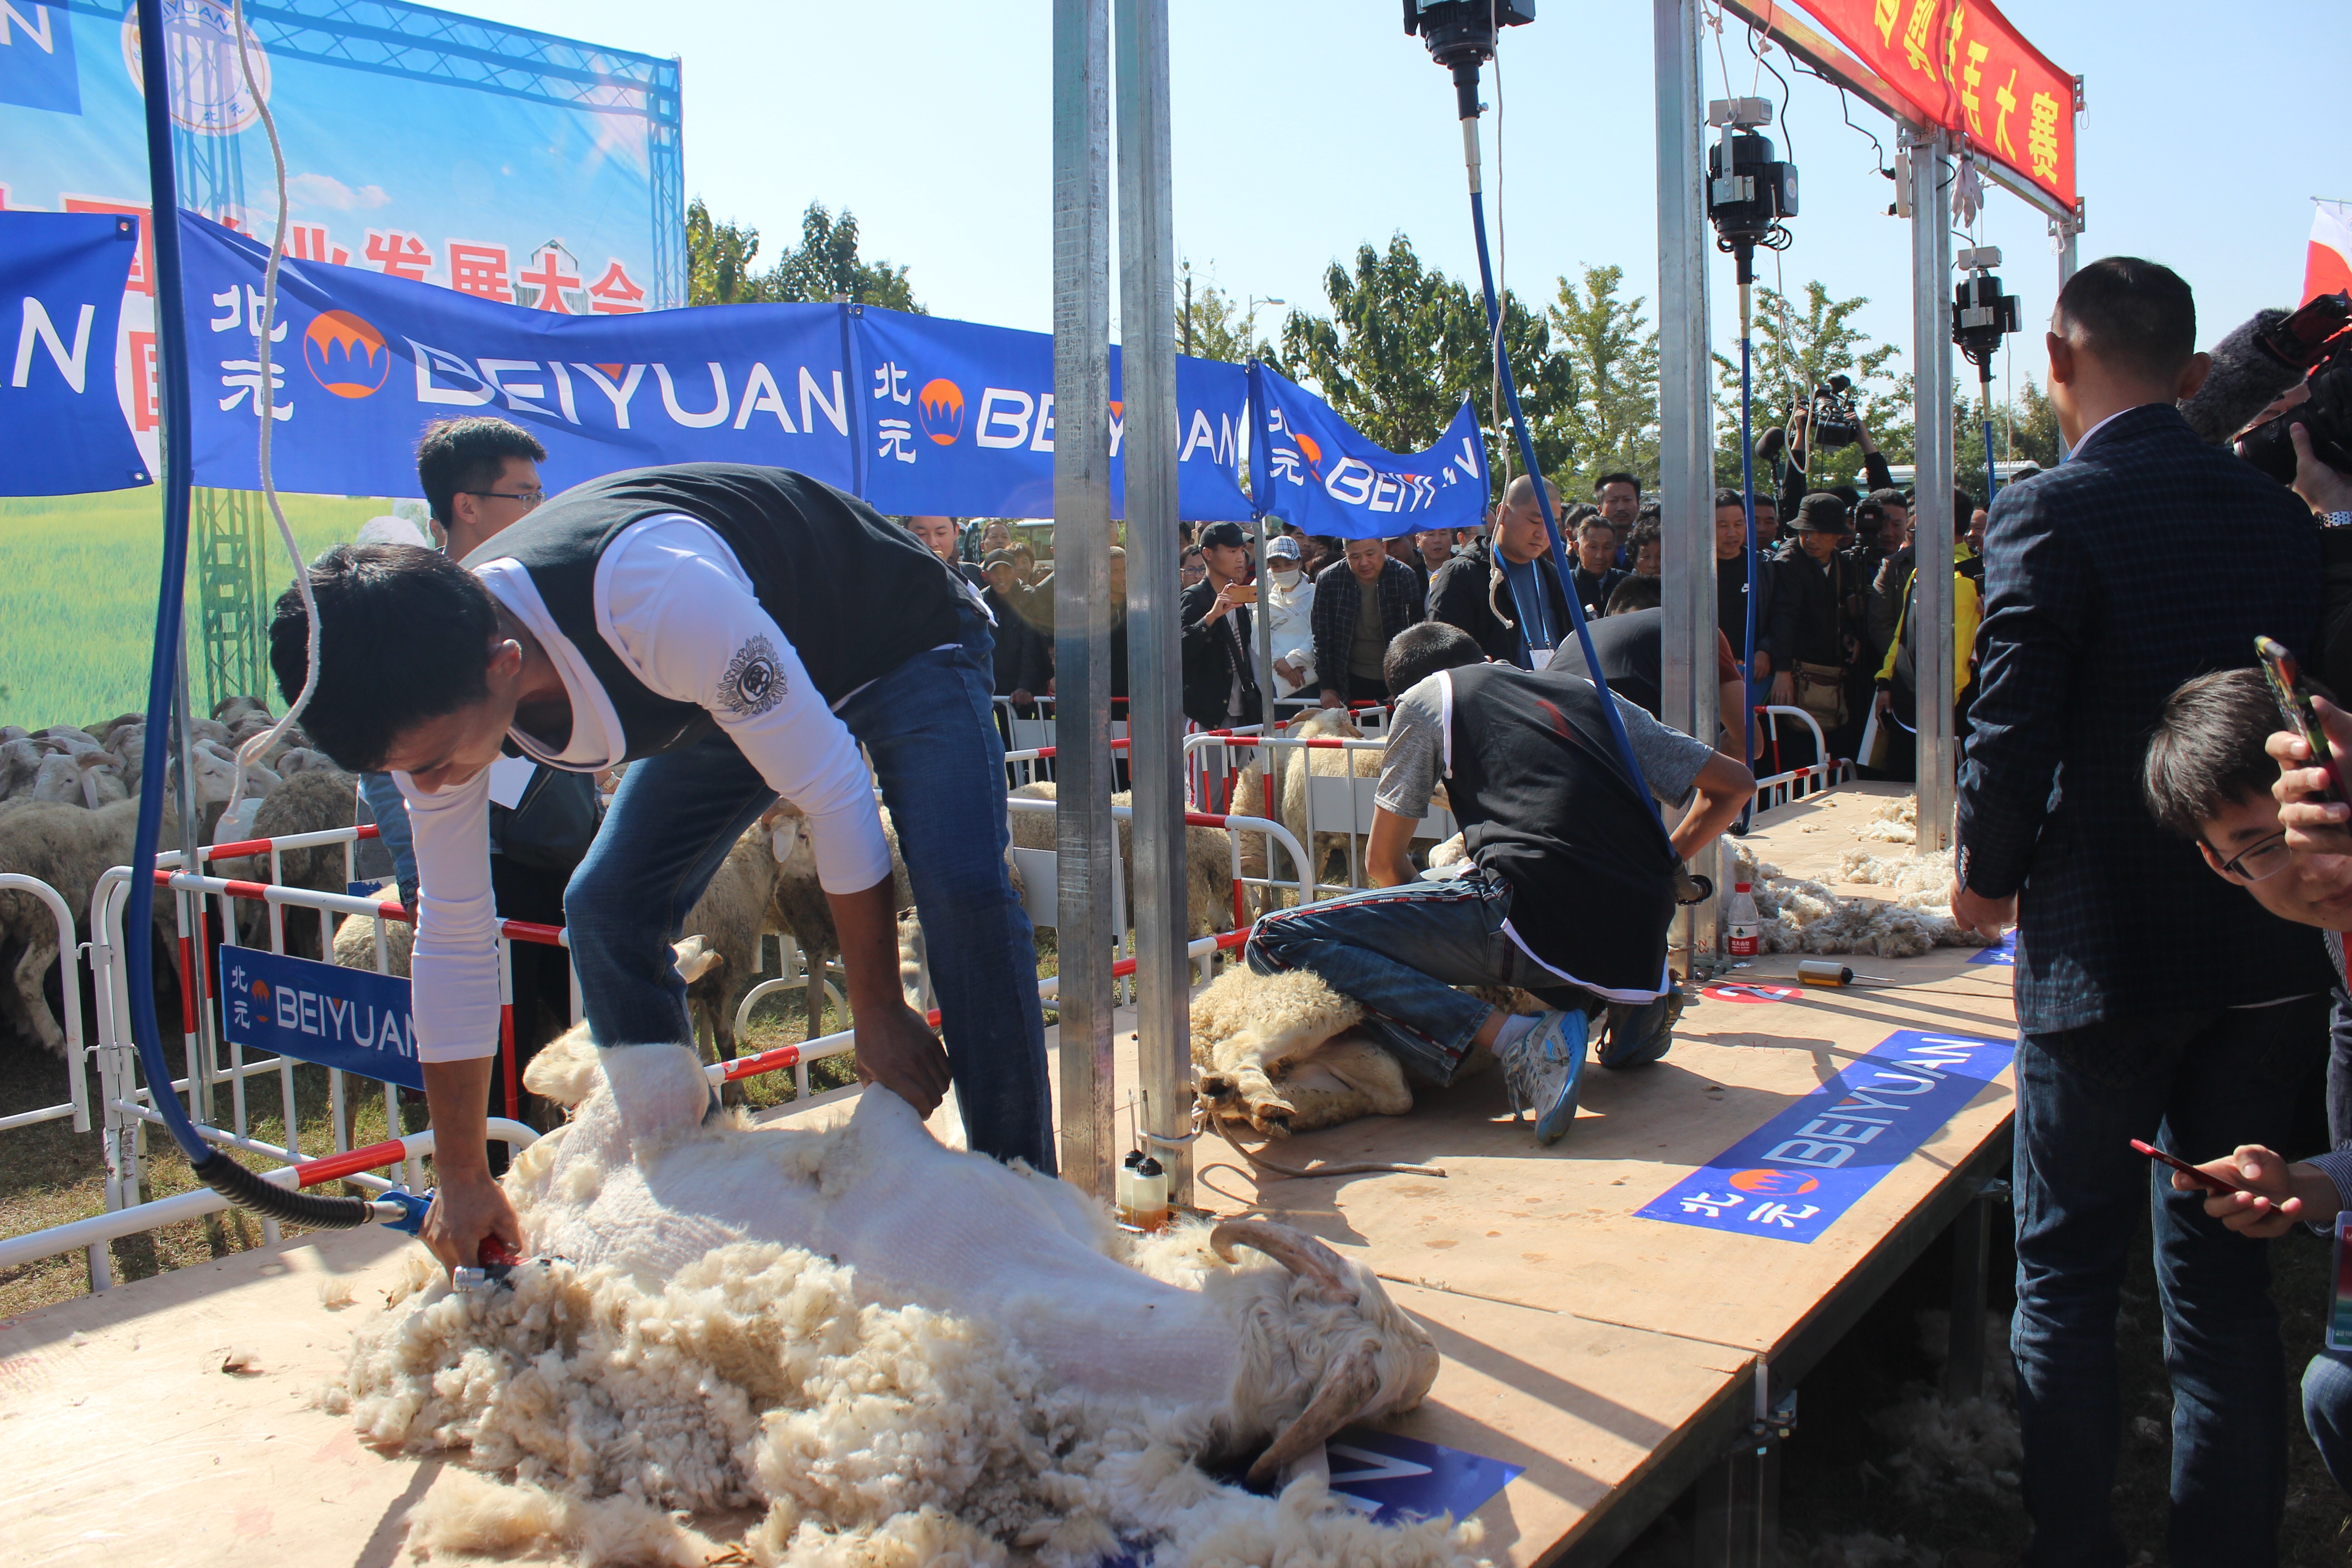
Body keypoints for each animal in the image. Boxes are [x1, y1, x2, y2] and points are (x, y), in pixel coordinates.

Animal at [331, 1029, 1467, 1568]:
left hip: (618, 1127)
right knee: (591, 1072)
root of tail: (528, 1211)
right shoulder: (901, 1146)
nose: (1430, 1363)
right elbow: (893, 1095)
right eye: (1366, 1319)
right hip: (639, 1112)